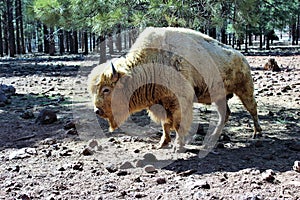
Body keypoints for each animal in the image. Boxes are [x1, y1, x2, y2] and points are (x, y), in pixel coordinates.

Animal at [88, 26, 262, 152]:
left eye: (106, 89)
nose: (97, 111)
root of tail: (242, 57)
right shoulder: (161, 103)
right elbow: (165, 125)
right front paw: (162, 143)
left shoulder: (179, 102)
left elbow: (178, 125)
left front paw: (178, 146)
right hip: (220, 97)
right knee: (224, 115)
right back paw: (211, 140)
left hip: (245, 90)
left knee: (252, 108)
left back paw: (257, 133)